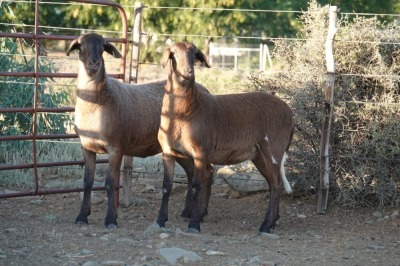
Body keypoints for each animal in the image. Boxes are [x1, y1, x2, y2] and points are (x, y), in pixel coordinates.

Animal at [66, 33, 211, 229]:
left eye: (103, 47)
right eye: (80, 46)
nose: (94, 63)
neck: (97, 101)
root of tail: (206, 90)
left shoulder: (116, 148)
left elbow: (110, 183)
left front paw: (111, 219)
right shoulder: (86, 147)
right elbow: (87, 182)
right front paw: (82, 216)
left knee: (206, 173)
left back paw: (200, 214)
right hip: (179, 150)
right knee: (192, 173)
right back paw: (188, 212)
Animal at [159, 40, 294, 234]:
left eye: (194, 54)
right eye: (174, 54)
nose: (188, 72)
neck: (187, 109)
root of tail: (290, 113)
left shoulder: (200, 152)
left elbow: (197, 185)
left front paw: (194, 224)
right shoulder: (168, 151)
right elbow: (166, 186)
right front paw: (160, 221)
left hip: (273, 147)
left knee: (276, 184)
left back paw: (265, 226)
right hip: (258, 154)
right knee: (273, 183)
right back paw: (273, 222)